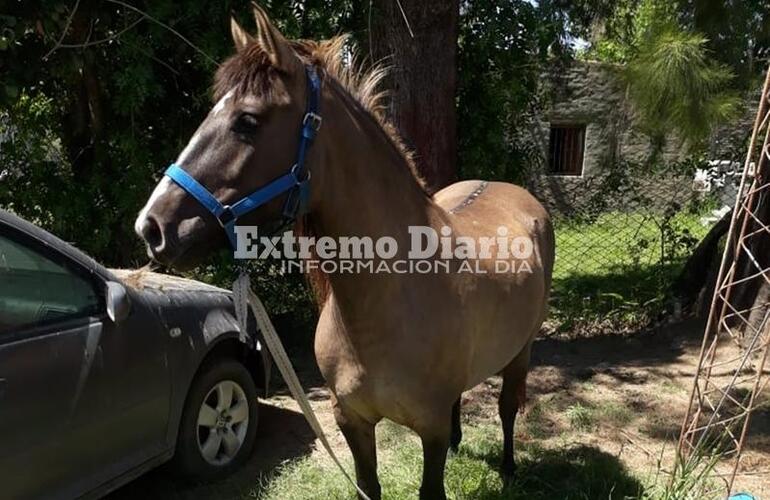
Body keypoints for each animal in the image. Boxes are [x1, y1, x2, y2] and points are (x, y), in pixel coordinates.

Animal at [134, 5, 554, 499]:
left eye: (247, 121)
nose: (152, 227)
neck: (389, 305)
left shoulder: (427, 429)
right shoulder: (351, 420)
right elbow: (368, 485)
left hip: (520, 351)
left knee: (508, 407)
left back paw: (508, 466)